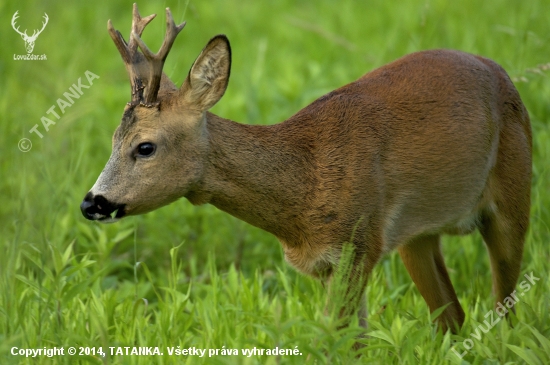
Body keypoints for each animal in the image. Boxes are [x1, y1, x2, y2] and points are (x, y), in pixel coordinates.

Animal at [80, 4, 532, 334]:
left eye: (145, 147)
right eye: (113, 139)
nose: (91, 203)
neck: (304, 186)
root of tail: (502, 73)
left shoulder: (356, 246)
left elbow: (338, 337)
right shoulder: (332, 262)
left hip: (514, 196)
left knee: (507, 312)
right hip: (415, 236)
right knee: (453, 316)